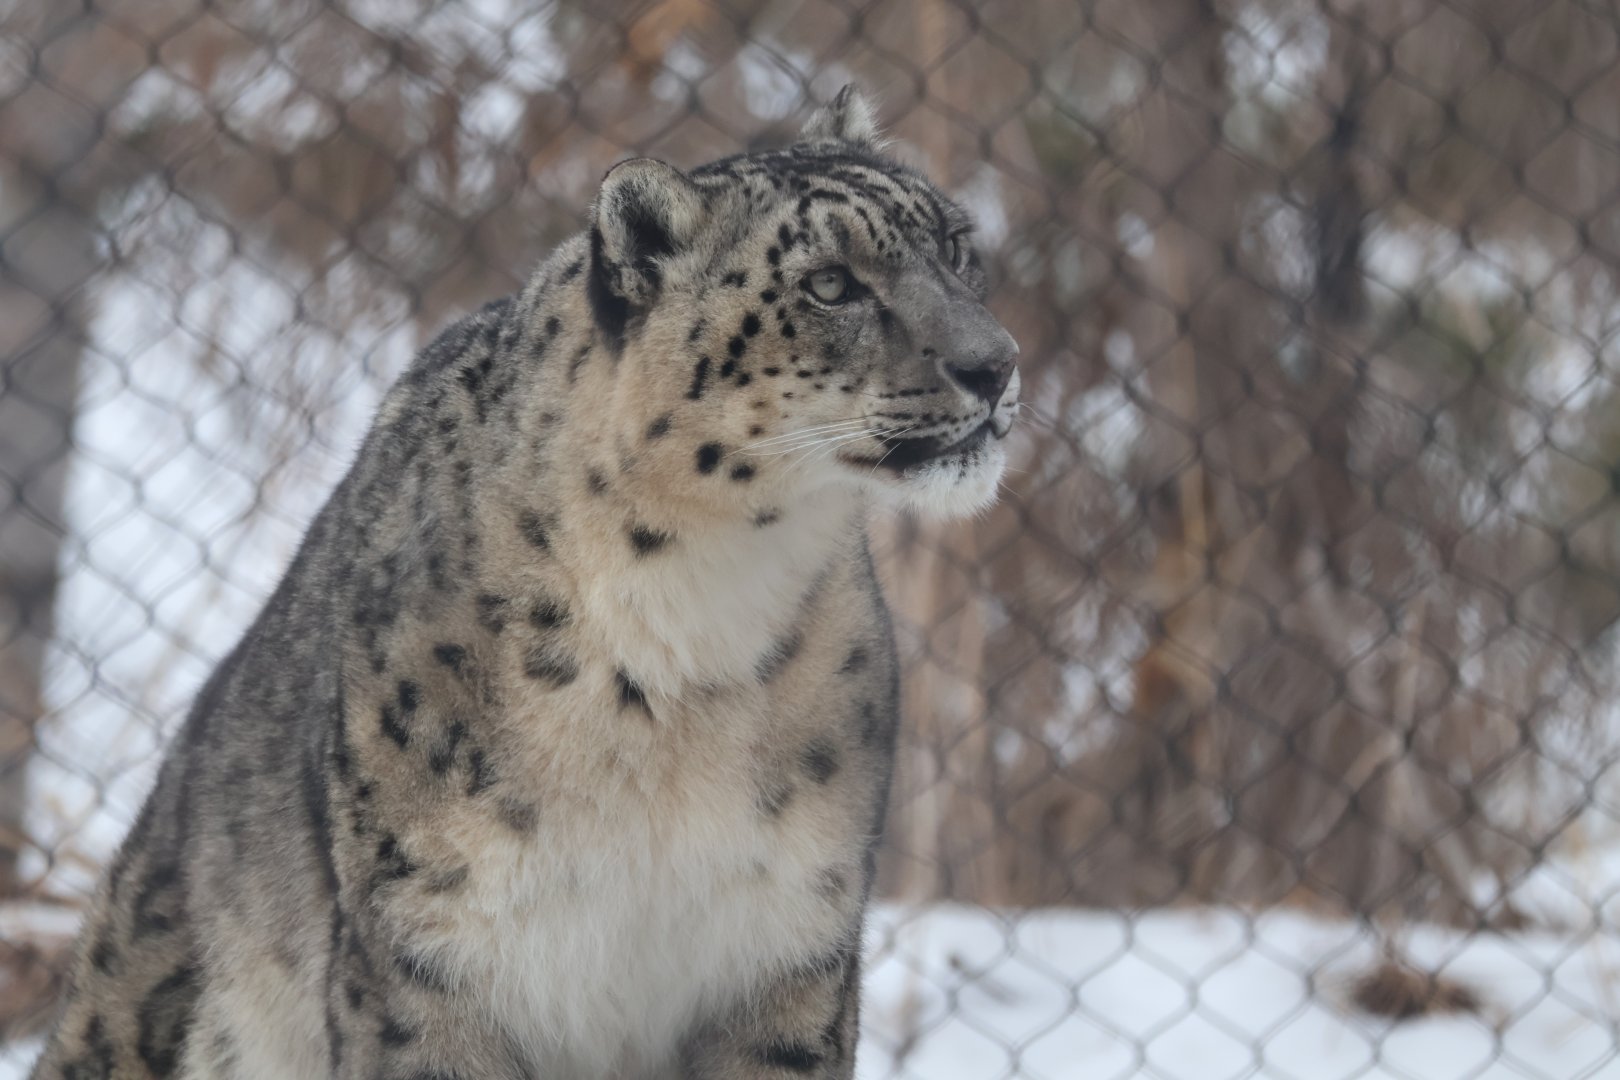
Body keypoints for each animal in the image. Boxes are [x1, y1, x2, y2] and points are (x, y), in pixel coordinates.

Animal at [30, 85, 1019, 1080]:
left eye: (955, 244)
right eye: (829, 284)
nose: (996, 364)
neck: (694, 626)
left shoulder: (789, 946)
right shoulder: (432, 952)